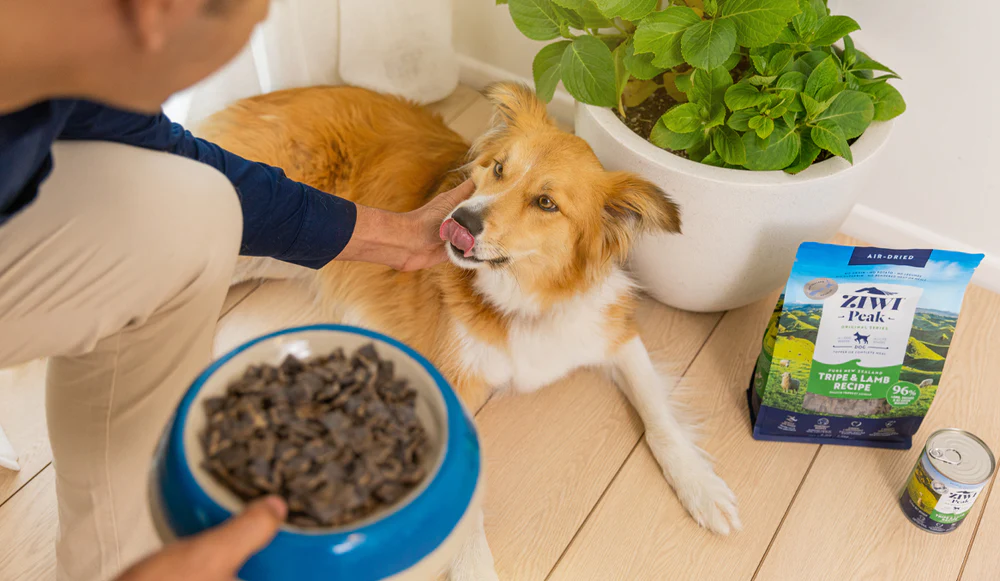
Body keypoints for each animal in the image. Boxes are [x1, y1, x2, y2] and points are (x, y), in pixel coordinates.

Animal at [201, 84, 736, 576]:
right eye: (499, 168)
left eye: (546, 202)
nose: (460, 219)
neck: (522, 296)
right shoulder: (452, 379)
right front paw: (472, 564)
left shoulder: (612, 333)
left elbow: (660, 416)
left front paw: (702, 487)